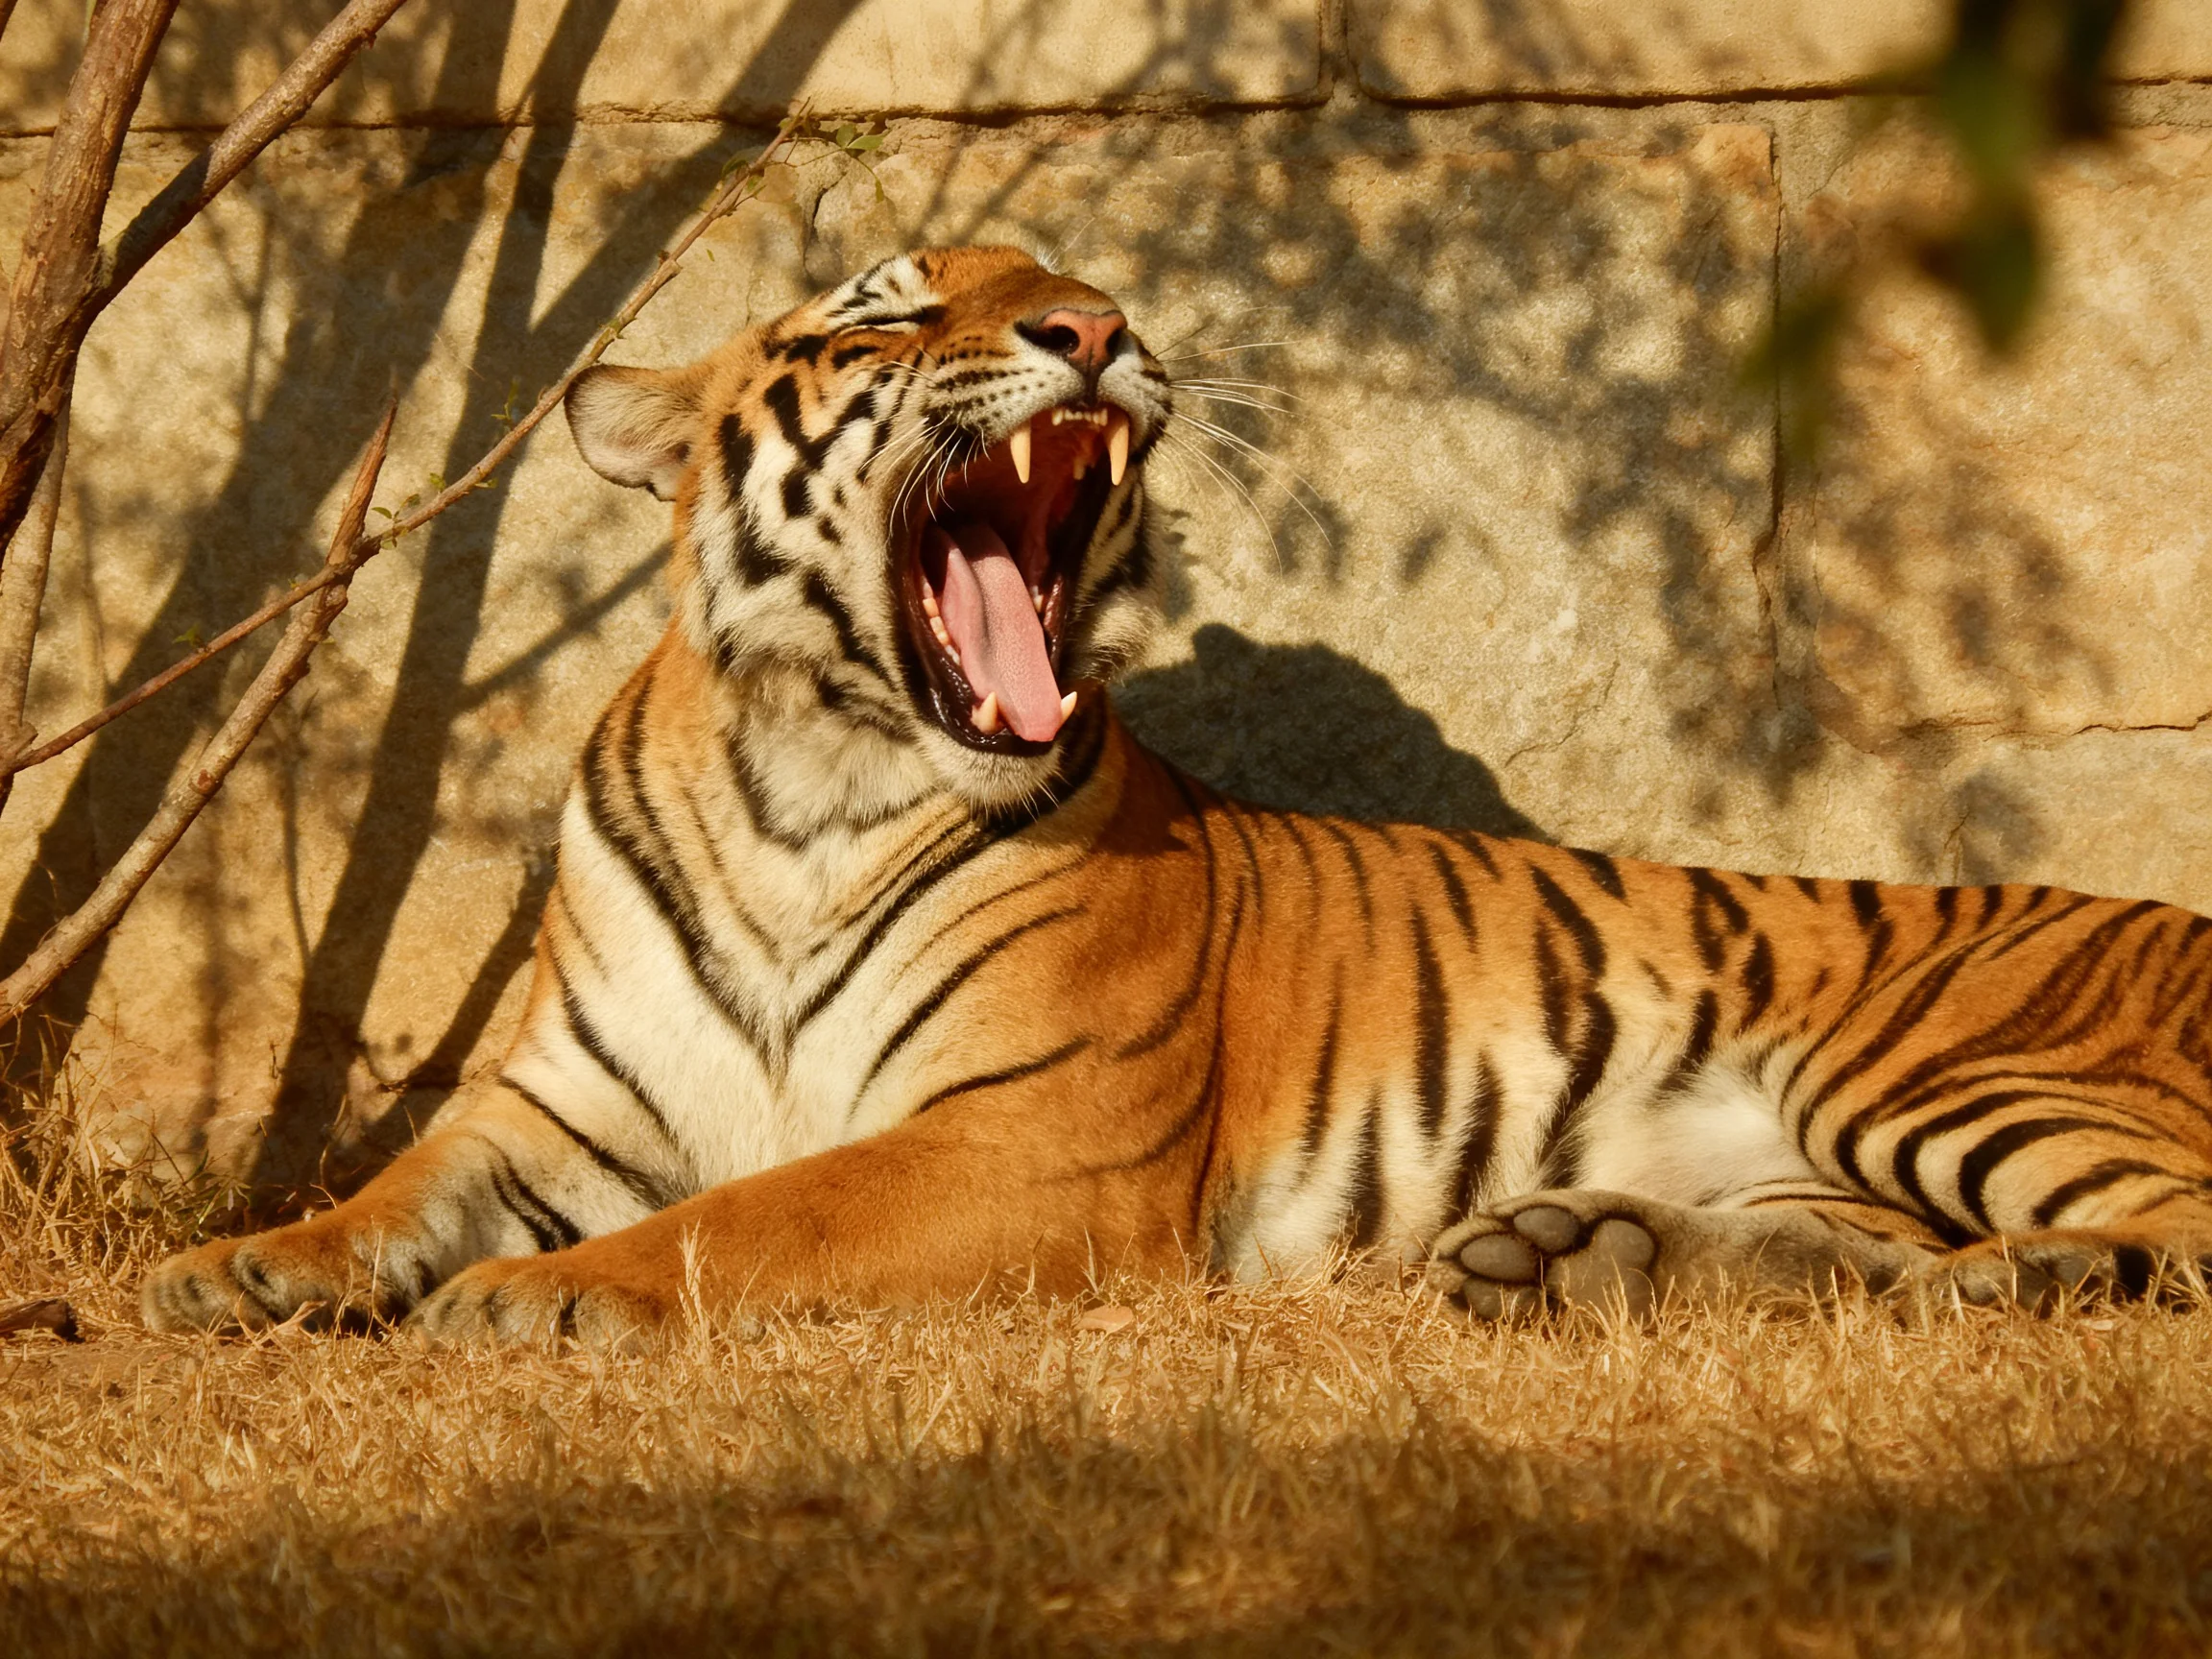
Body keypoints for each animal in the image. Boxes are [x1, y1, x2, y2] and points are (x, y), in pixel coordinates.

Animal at [142, 244, 2212, 1343]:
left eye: (1059, 281)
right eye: (885, 315)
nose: (1093, 326)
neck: (804, 781)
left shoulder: (1028, 1134)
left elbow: (760, 1211)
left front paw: (539, 1298)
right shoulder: (559, 1102)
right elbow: (396, 1185)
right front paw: (233, 1268)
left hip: (1952, 1072)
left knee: (2168, 1228)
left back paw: (2027, 1277)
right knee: (1853, 1250)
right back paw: (1577, 1251)